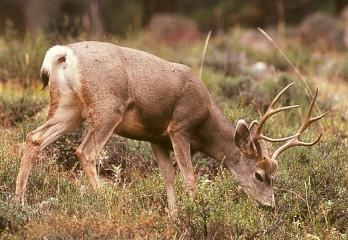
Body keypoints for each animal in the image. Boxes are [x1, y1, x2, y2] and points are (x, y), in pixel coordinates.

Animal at [14, 41, 328, 212]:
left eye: (276, 175)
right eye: (259, 175)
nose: (269, 206)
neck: (205, 118)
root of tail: (64, 54)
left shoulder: (156, 138)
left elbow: (168, 177)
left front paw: (176, 216)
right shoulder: (180, 129)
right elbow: (189, 177)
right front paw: (195, 210)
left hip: (69, 107)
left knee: (33, 138)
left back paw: (19, 202)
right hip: (107, 107)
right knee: (85, 151)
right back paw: (106, 200)